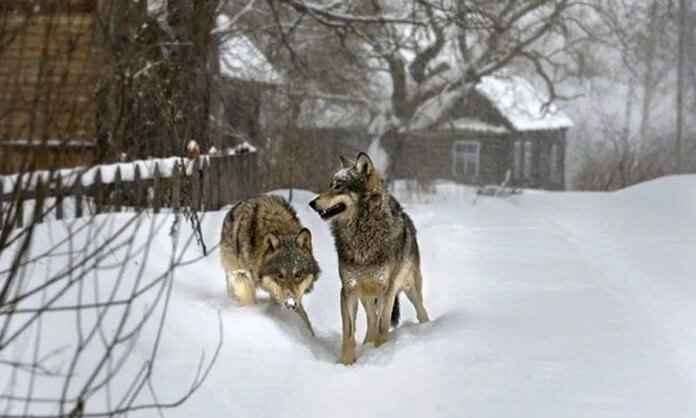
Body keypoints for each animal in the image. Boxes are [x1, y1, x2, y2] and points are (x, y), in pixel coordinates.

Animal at [219, 194, 320, 334]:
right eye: (280, 275)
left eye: (298, 274)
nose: (290, 304)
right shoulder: (242, 277)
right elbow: (249, 299)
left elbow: (303, 316)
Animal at [308, 152, 426, 364]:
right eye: (330, 184)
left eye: (339, 186)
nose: (312, 203)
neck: (362, 233)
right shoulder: (348, 289)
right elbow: (348, 332)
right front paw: (346, 362)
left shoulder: (387, 290)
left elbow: (383, 326)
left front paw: (379, 355)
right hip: (366, 297)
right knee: (371, 322)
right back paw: (367, 346)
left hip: (410, 291)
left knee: (420, 312)